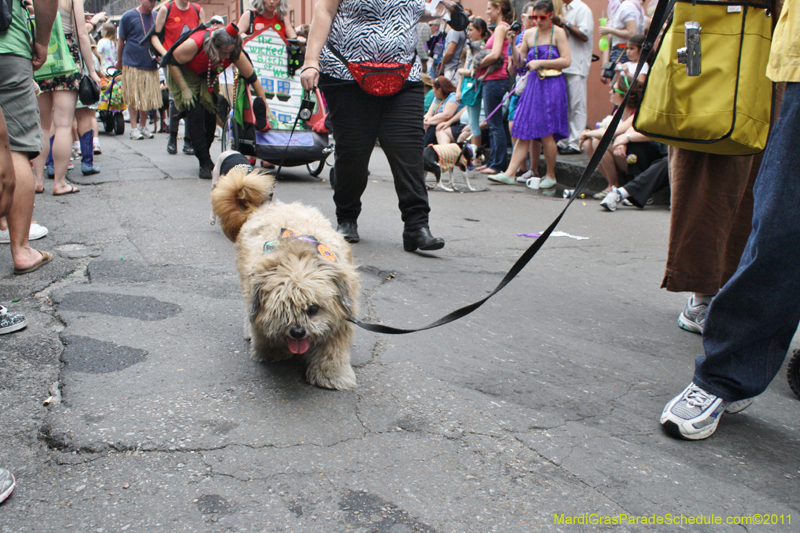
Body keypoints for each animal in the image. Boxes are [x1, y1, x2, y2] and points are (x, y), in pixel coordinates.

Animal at [209, 152, 360, 388]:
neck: (297, 254)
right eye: (282, 310)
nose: (297, 332)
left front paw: (331, 374)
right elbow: (264, 330)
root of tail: (263, 207)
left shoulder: (342, 317)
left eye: (313, 309)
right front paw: (272, 352)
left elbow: (332, 350)